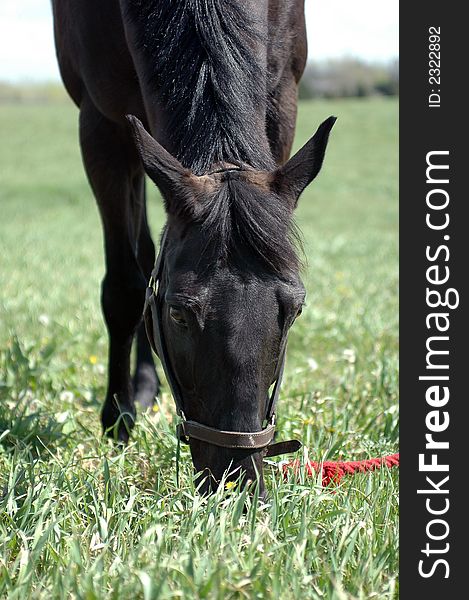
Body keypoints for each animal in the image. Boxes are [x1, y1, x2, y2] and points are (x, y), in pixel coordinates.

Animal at [53, 0, 334, 494]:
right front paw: (117, 419)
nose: (237, 480)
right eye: (179, 313)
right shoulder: (101, 126)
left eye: (295, 309)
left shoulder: (282, 96)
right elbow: (124, 288)